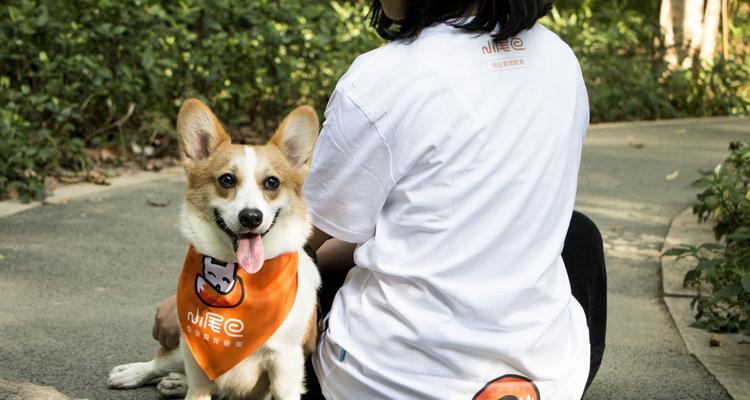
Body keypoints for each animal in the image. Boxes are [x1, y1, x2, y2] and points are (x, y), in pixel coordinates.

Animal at [109, 100, 324, 400]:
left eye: (272, 182)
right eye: (226, 180)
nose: (251, 217)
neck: (242, 274)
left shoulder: (285, 370)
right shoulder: (198, 367)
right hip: (183, 347)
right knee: (161, 362)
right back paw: (135, 373)